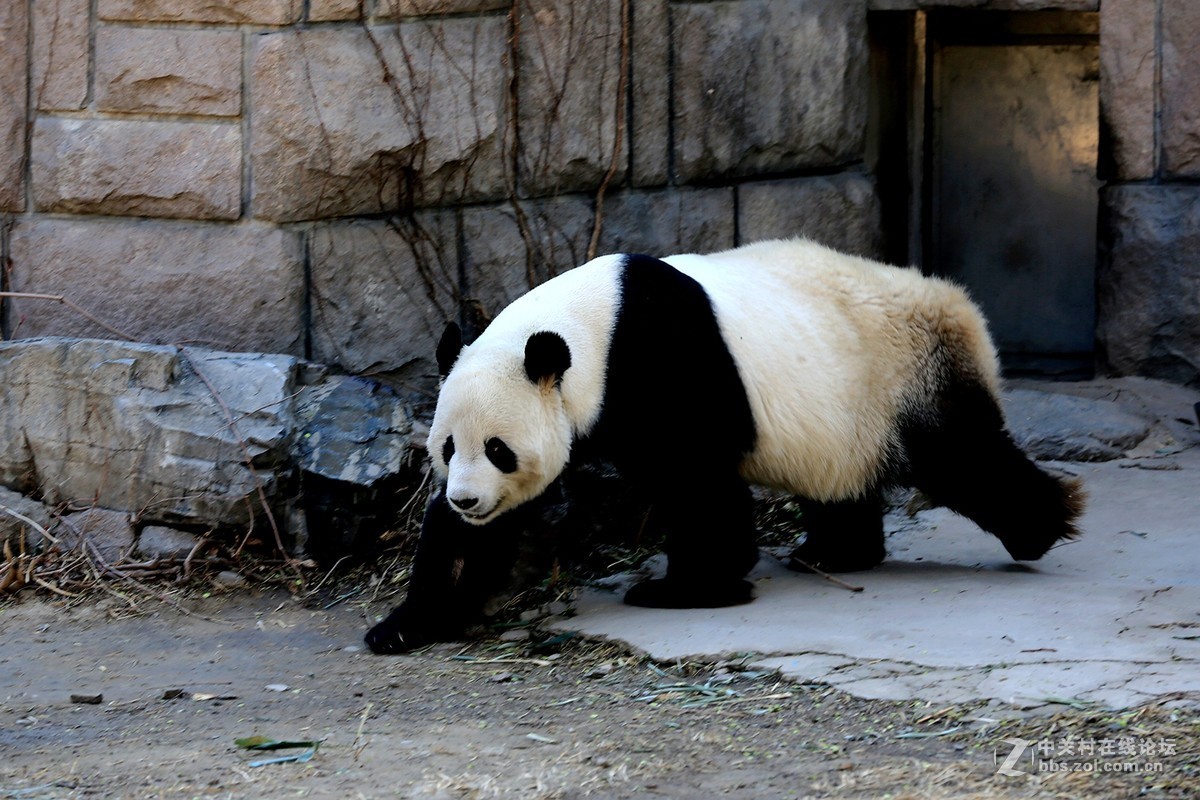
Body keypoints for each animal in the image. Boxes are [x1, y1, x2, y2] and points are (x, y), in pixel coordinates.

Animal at [360, 239, 1084, 657]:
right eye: (448, 448)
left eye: (499, 449)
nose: (467, 499)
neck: (588, 328)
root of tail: (960, 305)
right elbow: (475, 539)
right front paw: (409, 622)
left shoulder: (663, 359)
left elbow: (699, 482)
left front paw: (684, 589)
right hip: (850, 411)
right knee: (846, 484)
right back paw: (834, 551)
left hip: (908, 372)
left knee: (967, 458)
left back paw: (1042, 527)